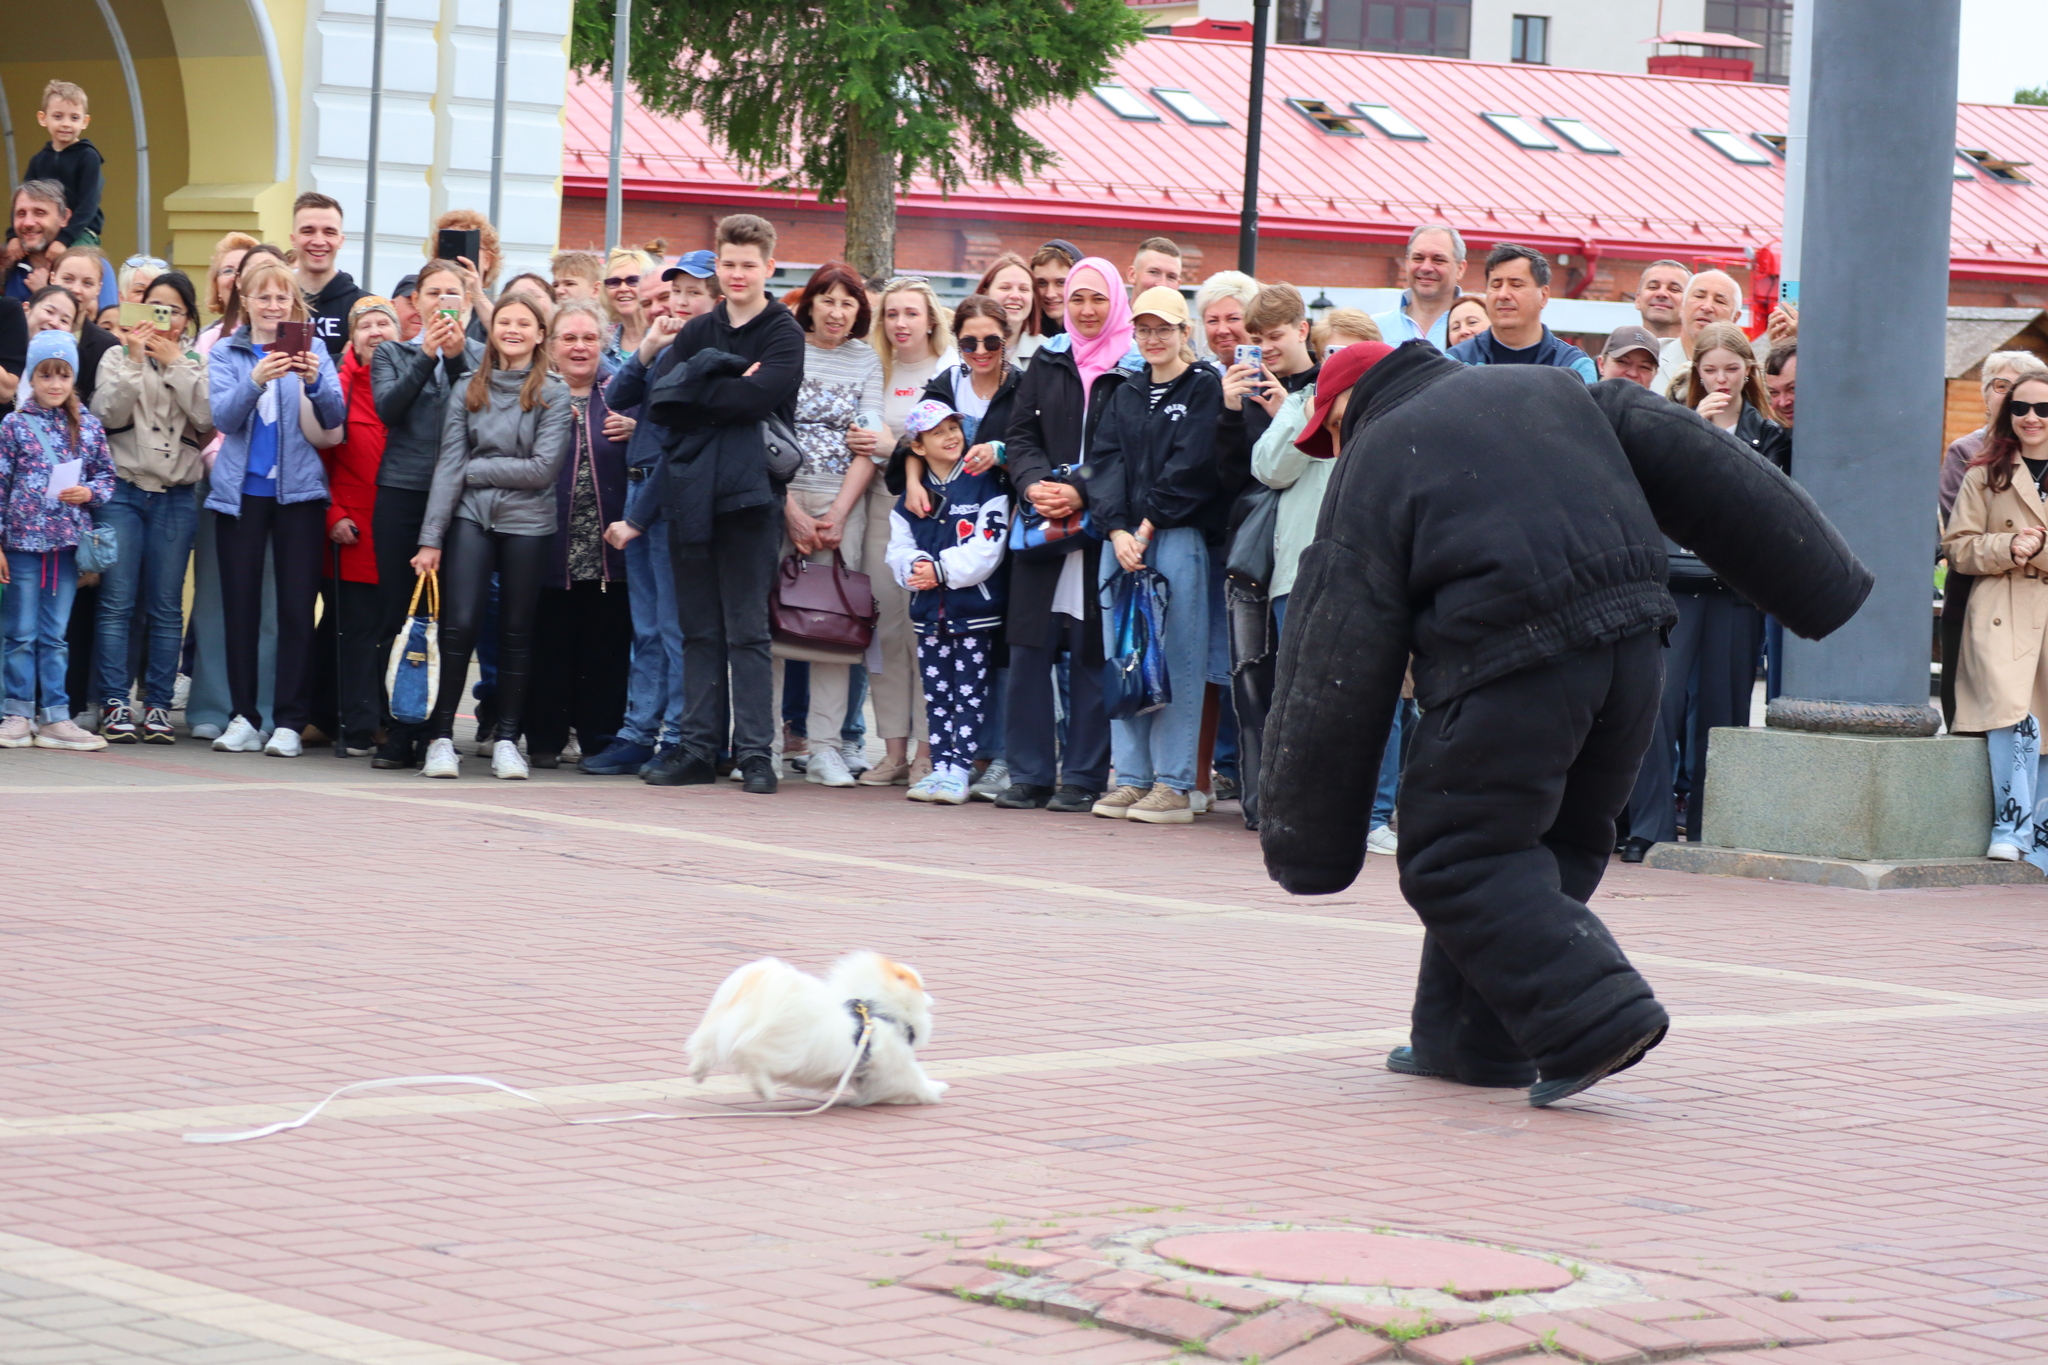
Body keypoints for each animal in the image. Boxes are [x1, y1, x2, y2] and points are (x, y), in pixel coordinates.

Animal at [684, 957, 946, 1105]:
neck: (882, 1013)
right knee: (748, 1057)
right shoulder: (897, 1066)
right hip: (781, 1052)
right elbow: (915, 1080)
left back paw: (698, 1072)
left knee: (706, 1047)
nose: (931, 997)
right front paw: (935, 1090)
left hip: (722, 1029)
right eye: (922, 987)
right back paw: (764, 1090)